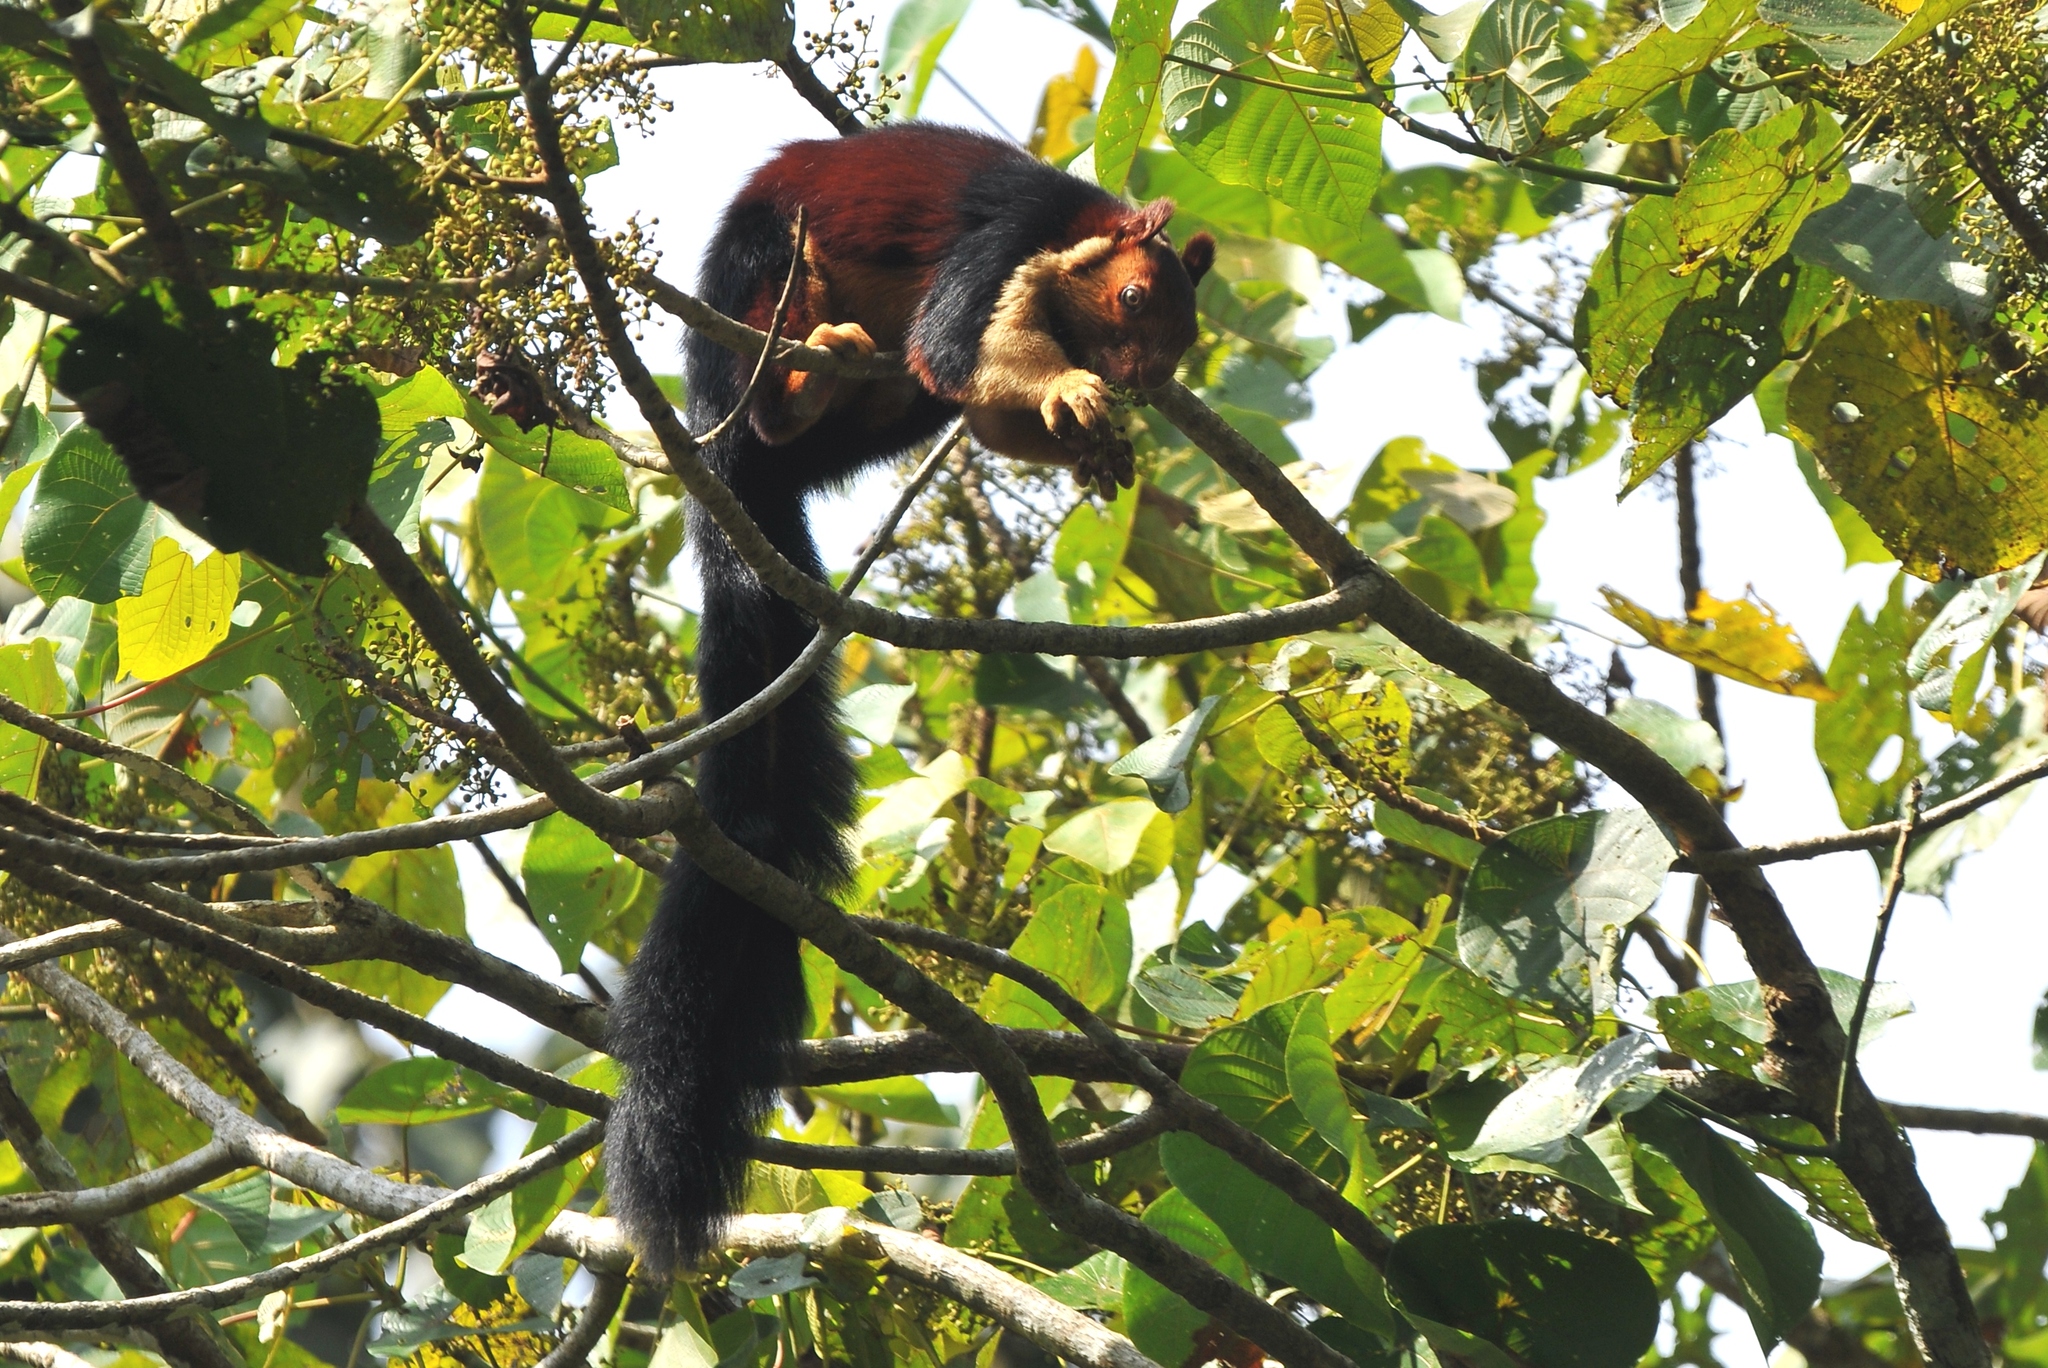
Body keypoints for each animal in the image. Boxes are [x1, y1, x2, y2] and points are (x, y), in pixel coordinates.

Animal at [605, 123, 1215, 1271]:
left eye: (1186, 336)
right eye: (1131, 301)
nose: (1141, 383)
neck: (1075, 233)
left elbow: (979, 399)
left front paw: (1091, 438)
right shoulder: (1002, 248)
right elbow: (959, 345)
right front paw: (1074, 395)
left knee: (890, 405)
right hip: (762, 283)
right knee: (795, 357)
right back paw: (800, 378)